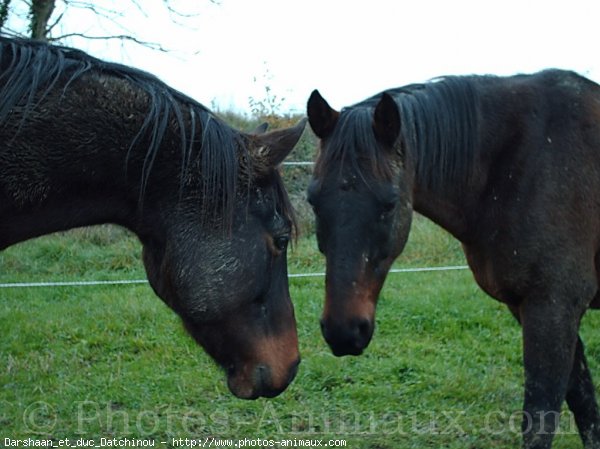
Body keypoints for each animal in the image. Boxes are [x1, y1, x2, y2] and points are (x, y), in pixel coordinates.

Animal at [308, 68, 600, 446]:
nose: (343, 331)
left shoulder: (554, 307)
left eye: (389, 204)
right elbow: (584, 404)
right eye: (314, 201)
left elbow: (541, 420)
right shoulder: (534, 309)